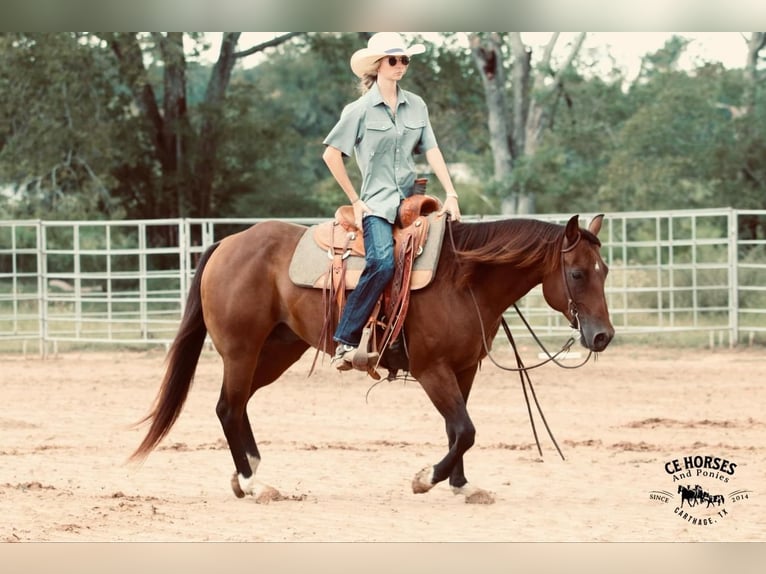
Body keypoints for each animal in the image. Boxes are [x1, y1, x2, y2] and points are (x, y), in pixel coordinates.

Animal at [130, 213, 612, 504]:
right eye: (576, 273)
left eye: (604, 270)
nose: (603, 336)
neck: (463, 279)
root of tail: (227, 243)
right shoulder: (432, 369)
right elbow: (465, 429)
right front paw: (425, 478)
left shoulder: (464, 369)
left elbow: (460, 430)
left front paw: (461, 485)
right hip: (241, 350)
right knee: (228, 407)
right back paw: (255, 482)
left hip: (277, 350)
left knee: (238, 404)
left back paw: (245, 472)